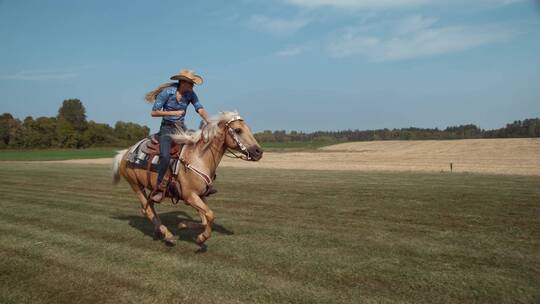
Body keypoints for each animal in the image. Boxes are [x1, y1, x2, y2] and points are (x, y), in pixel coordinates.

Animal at [113, 111, 264, 247]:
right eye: (238, 130)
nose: (259, 152)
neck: (199, 158)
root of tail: (125, 153)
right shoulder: (189, 196)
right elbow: (210, 215)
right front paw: (201, 238)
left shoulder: (201, 196)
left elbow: (205, 219)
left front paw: (183, 225)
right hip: (136, 186)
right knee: (148, 210)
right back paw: (168, 235)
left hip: (150, 189)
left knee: (148, 208)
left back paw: (159, 231)